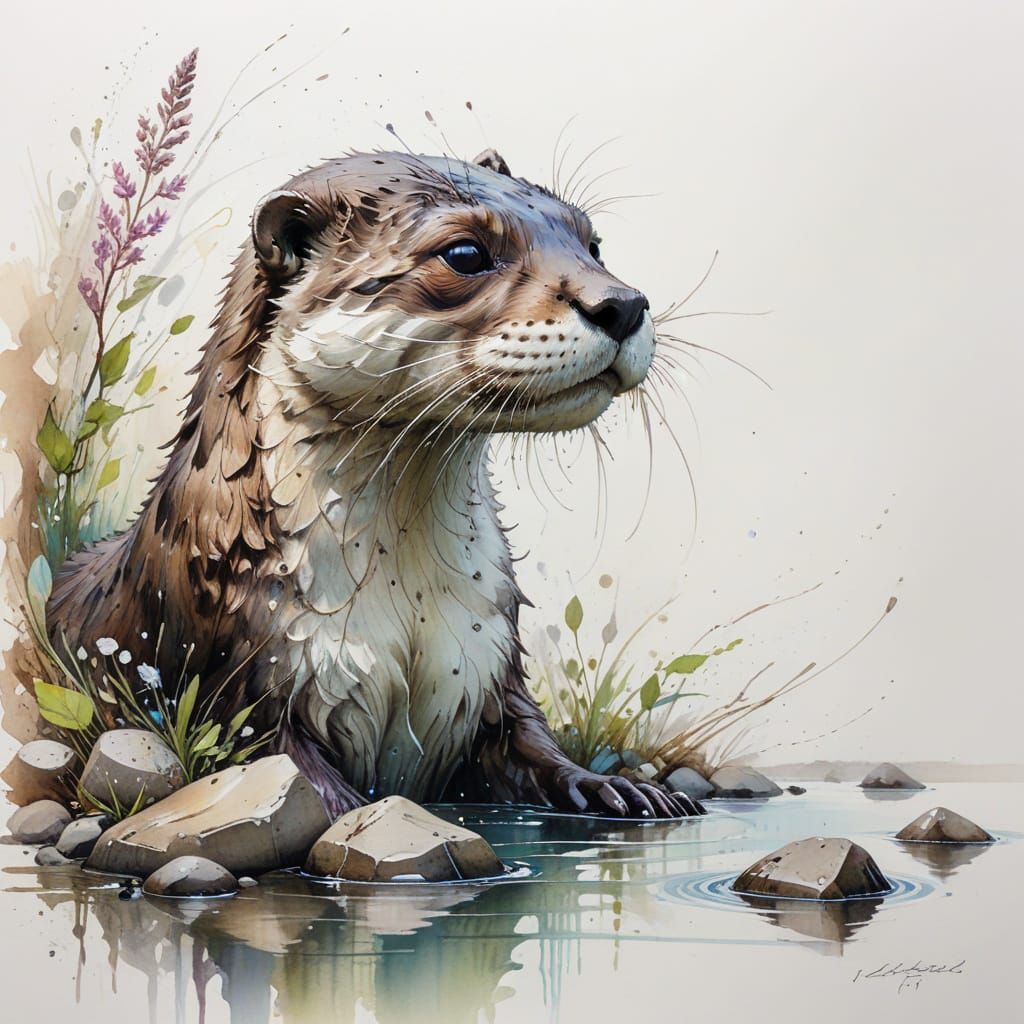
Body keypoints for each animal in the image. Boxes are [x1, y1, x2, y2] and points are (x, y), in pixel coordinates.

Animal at [47, 149, 702, 820]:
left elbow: (533, 743)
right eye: (465, 253)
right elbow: (286, 774)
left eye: (592, 243)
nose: (623, 304)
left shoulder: (492, 668)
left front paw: (617, 786)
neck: (405, 602)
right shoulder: (228, 673)